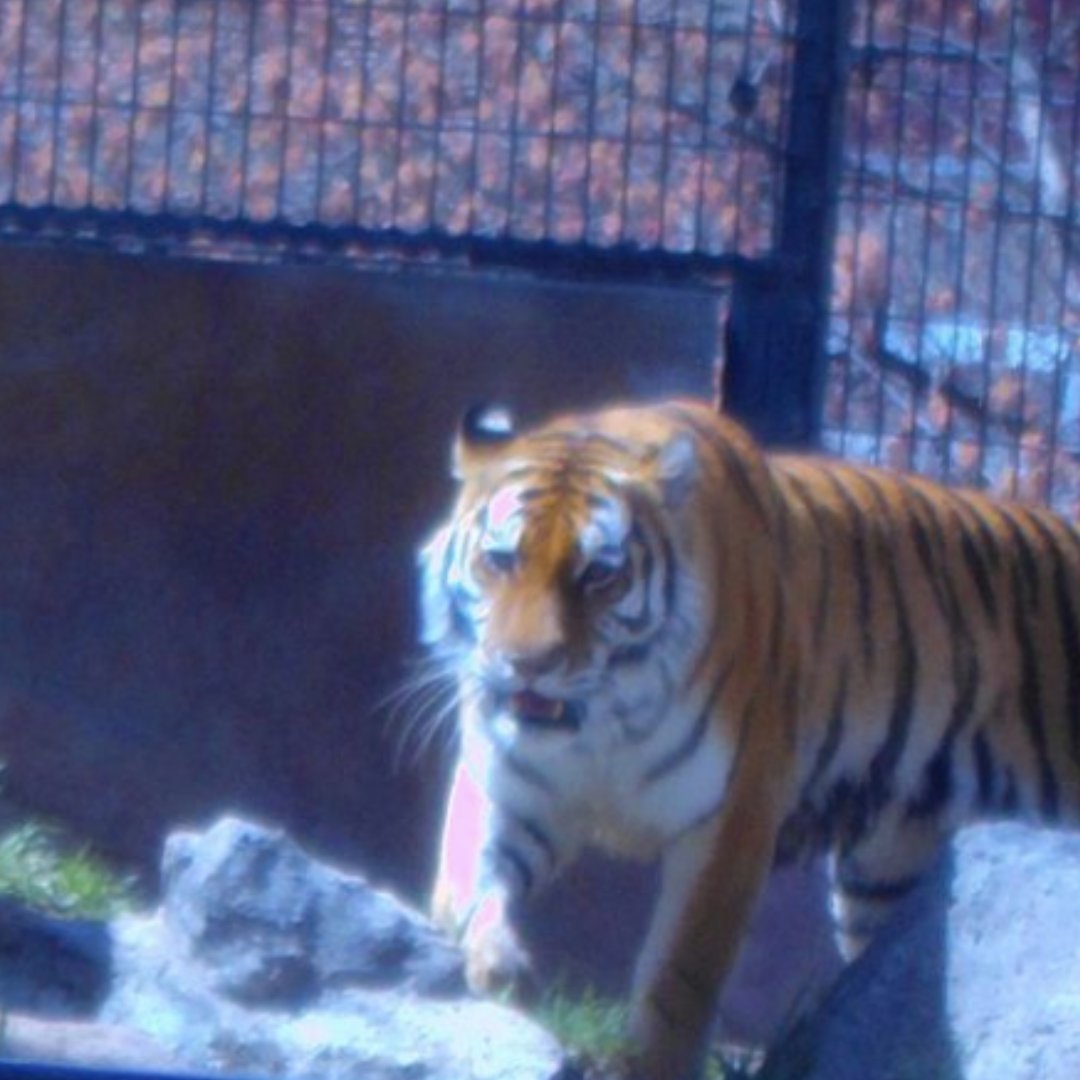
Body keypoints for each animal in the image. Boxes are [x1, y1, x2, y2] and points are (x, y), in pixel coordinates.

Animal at [417, 397, 1080, 1079]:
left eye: (598, 574)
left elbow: (680, 975)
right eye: (501, 560)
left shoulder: (732, 817)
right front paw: (497, 967)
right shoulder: (507, 791)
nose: (527, 665)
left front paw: (651, 1062)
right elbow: (468, 883)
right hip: (883, 873)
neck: (602, 723)